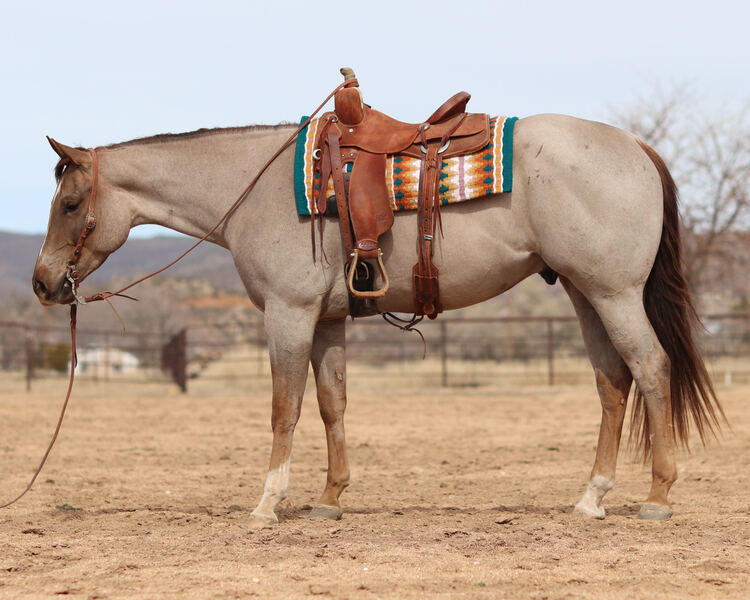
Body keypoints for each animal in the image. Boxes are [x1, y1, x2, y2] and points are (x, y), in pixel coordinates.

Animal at [32, 111, 724, 524]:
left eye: (69, 203)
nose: (43, 282)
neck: (256, 189)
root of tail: (634, 145)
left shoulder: (288, 316)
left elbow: (284, 408)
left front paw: (268, 503)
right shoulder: (326, 322)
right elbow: (332, 405)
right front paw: (329, 499)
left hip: (615, 293)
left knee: (651, 368)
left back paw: (658, 496)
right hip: (586, 294)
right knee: (613, 382)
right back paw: (591, 498)